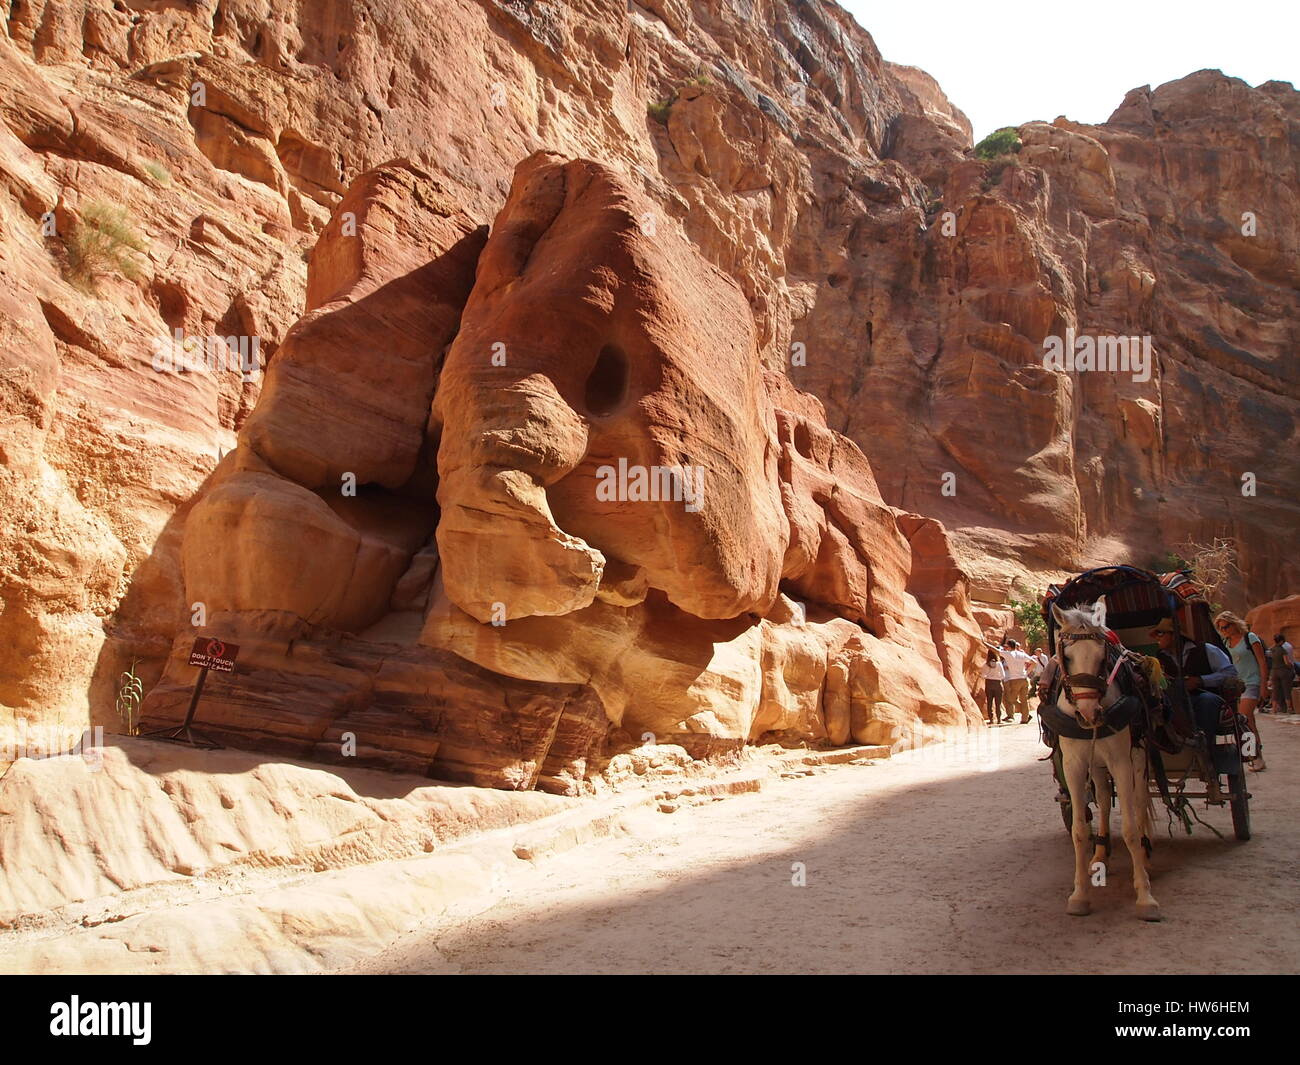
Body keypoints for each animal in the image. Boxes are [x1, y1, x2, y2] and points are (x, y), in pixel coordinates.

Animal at [1050, 603, 1164, 920]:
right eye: (1066, 657)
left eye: (1103, 657)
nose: (1089, 713)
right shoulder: (1074, 765)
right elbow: (1079, 830)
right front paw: (1079, 896)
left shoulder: (1121, 762)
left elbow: (1130, 828)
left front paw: (1145, 897)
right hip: (1097, 766)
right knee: (1101, 796)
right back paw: (1100, 855)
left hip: (1138, 757)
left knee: (1139, 800)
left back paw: (1146, 858)